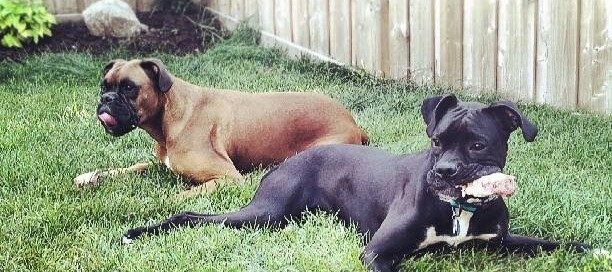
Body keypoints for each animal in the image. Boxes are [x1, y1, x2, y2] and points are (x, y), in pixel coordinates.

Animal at [73, 58, 368, 193]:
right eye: (104, 86)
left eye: (129, 88)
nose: (106, 99)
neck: (171, 118)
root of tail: (353, 121)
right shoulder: (161, 164)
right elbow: (134, 166)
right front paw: (91, 176)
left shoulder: (228, 177)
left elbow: (179, 195)